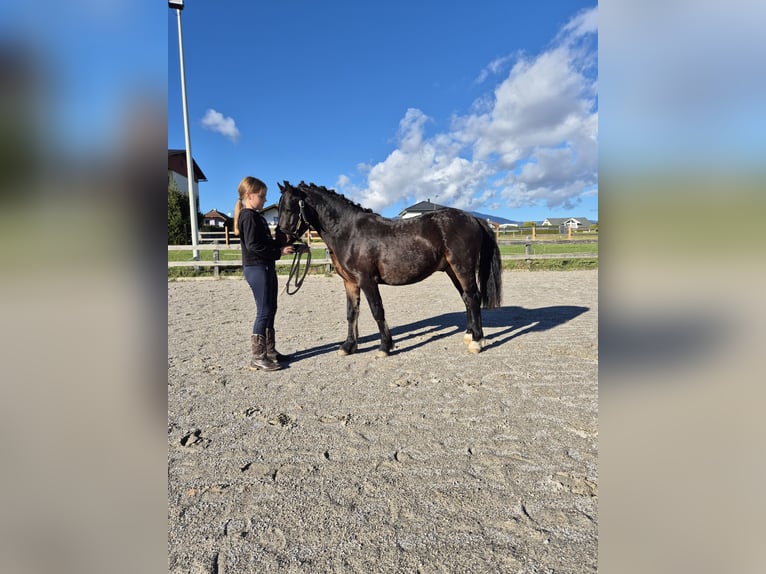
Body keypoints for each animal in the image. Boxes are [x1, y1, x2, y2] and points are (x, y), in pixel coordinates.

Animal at [277, 181, 503, 356]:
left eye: (289, 209)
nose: (282, 240)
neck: (349, 232)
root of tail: (473, 219)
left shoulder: (367, 281)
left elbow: (377, 311)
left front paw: (385, 346)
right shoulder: (349, 282)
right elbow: (351, 313)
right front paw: (348, 346)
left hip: (463, 268)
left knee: (473, 297)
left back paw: (477, 342)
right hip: (452, 270)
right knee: (466, 298)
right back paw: (469, 335)